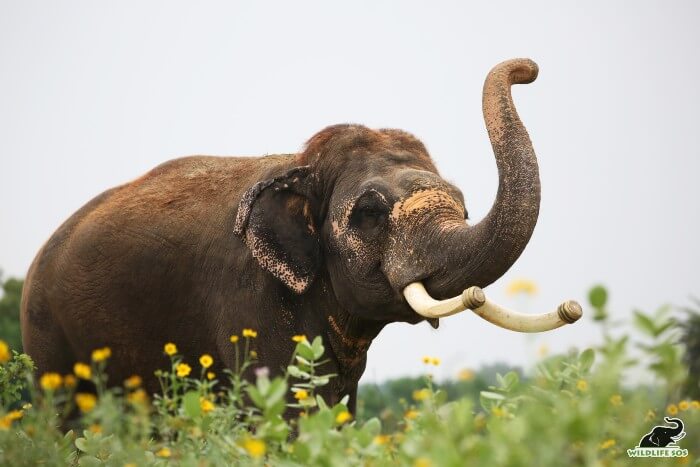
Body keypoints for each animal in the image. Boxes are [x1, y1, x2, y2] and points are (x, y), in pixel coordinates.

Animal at [19, 57, 576, 414]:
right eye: (369, 212)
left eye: (462, 205)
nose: (529, 69)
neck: (302, 167)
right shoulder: (249, 297)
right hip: (46, 335)